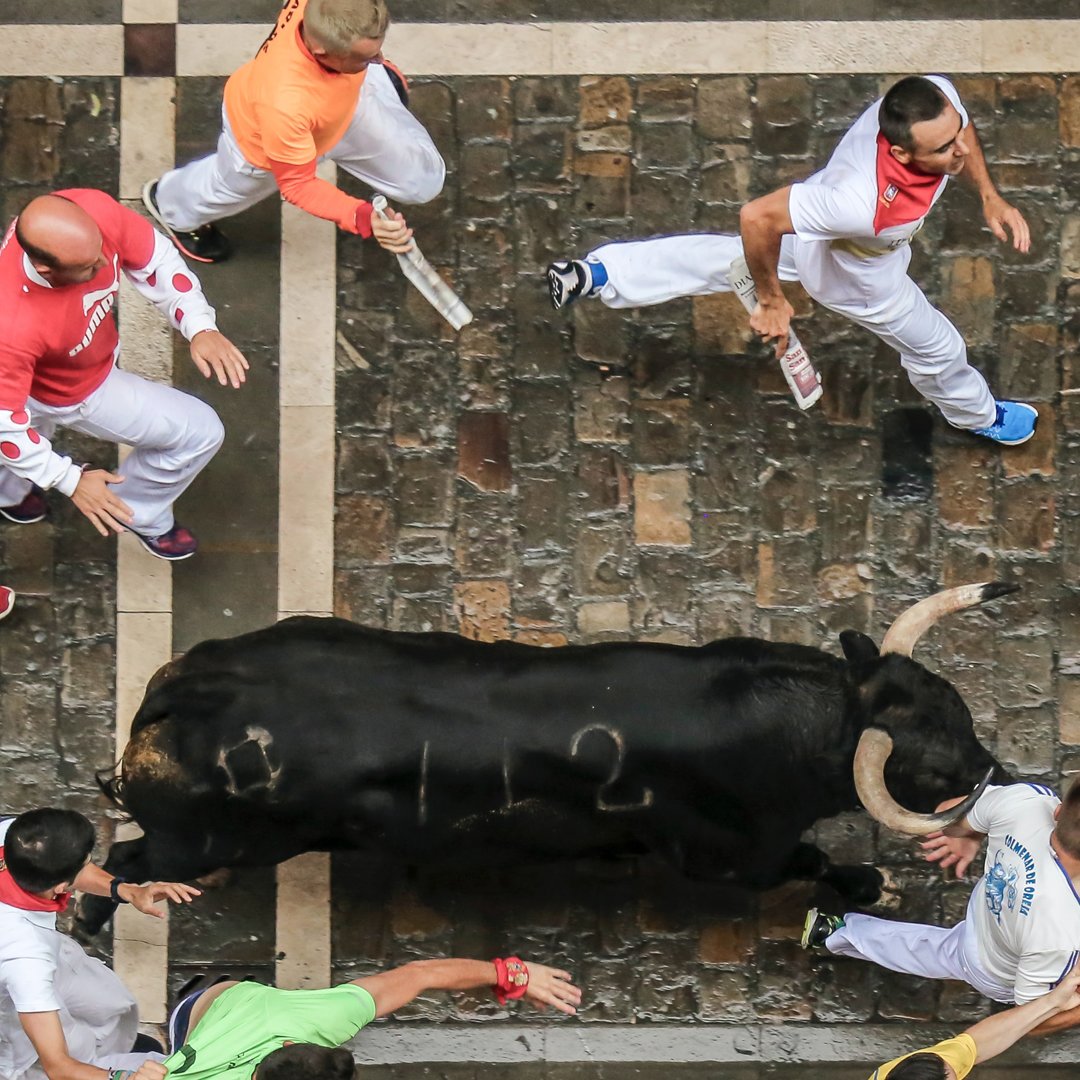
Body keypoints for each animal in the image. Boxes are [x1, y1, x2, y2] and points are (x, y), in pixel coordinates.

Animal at [79, 578, 1015, 933]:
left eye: (956, 703)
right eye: (933, 771)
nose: (997, 774)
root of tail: (180, 694)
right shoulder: (728, 859)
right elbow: (813, 861)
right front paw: (873, 883)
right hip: (203, 843)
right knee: (122, 862)